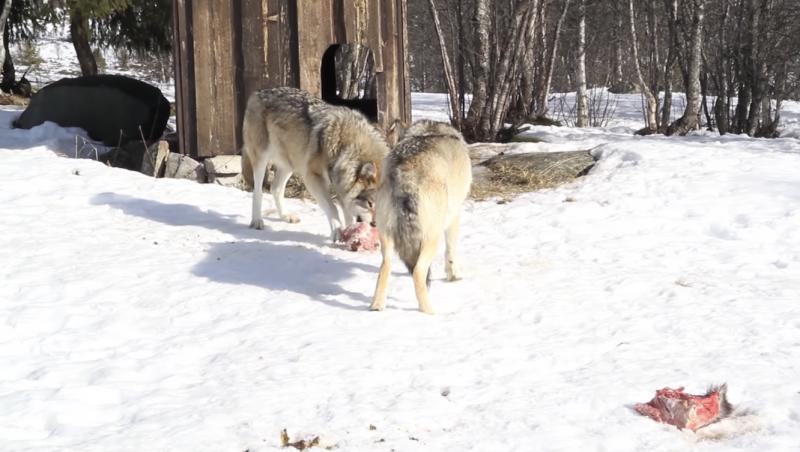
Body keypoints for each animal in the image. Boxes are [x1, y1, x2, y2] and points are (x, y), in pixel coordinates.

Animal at [241, 87, 390, 242]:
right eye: (370, 203)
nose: (376, 225)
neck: (347, 146)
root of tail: (257, 93)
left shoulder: (340, 185)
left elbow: (348, 213)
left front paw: (349, 233)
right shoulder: (313, 177)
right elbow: (332, 208)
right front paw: (337, 231)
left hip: (291, 163)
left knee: (275, 188)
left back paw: (285, 216)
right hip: (262, 159)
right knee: (258, 190)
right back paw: (257, 221)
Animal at [370, 122, 472, 316]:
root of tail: (405, 174)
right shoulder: (454, 215)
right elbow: (451, 251)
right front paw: (454, 275)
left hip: (385, 237)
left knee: (385, 267)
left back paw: (376, 306)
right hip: (432, 237)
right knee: (418, 273)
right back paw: (429, 311)